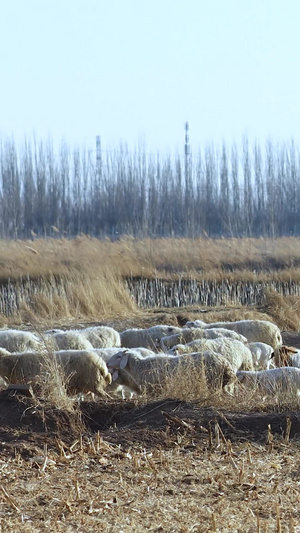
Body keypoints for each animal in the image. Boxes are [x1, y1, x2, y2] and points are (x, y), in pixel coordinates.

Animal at [106, 348, 236, 392]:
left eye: (119, 356)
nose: (107, 364)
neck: (140, 366)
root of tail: (224, 362)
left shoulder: (154, 388)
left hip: (213, 381)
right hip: (221, 383)